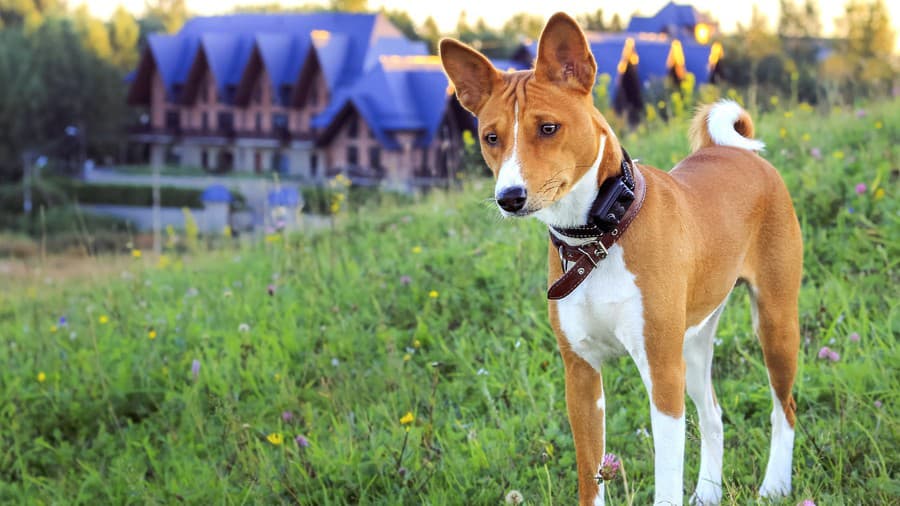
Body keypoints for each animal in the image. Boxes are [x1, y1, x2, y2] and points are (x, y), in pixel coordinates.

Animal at [438, 11, 800, 506]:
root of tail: (729, 150)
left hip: (774, 323)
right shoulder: (581, 375)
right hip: (694, 342)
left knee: (785, 408)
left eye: (548, 128)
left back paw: (776, 484)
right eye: (491, 138)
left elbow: (666, 480)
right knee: (714, 415)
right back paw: (708, 492)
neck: (598, 238)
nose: (509, 197)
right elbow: (591, 477)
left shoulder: (661, 372)